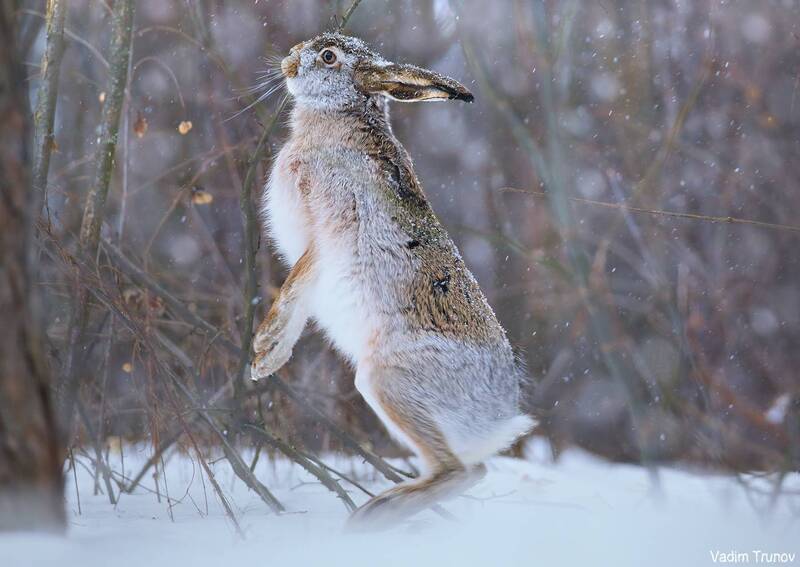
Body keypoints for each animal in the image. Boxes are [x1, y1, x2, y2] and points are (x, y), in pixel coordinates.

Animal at [251, 32, 535, 529]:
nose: (287, 62)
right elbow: (300, 303)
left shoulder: (326, 229)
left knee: (460, 470)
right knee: (472, 469)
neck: (340, 117)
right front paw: (268, 362)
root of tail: (499, 416)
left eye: (328, 57)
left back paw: (375, 514)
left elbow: (294, 287)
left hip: (386, 381)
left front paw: (261, 345)